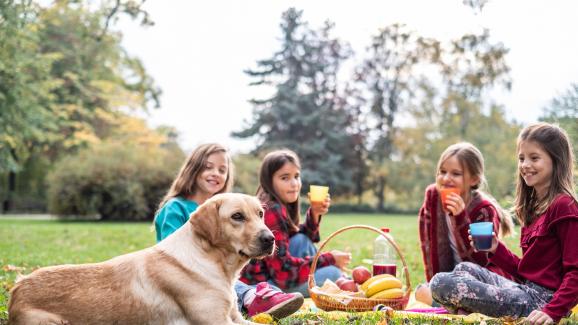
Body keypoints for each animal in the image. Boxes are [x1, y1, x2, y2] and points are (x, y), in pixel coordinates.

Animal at [8, 192, 274, 324]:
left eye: (260, 214)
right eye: (237, 216)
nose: (270, 239)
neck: (216, 265)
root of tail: (17, 287)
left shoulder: (236, 318)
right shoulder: (214, 321)